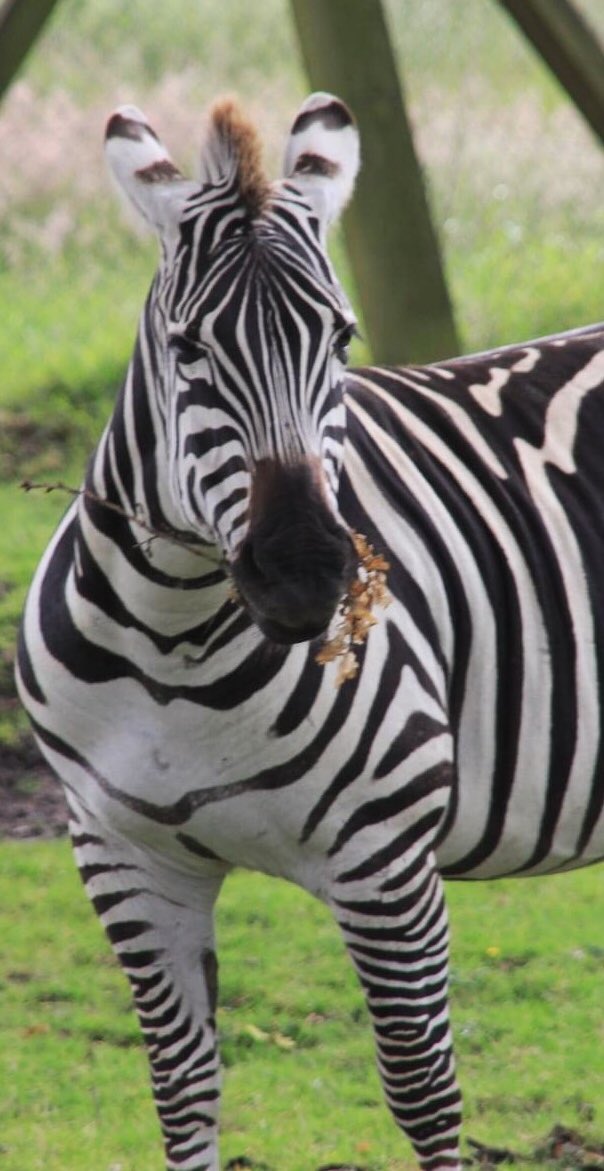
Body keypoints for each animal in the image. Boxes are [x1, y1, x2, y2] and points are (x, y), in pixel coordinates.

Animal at [16, 90, 604, 1171]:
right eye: (188, 349)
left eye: (340, 338)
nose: (304, 575)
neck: (170, 644)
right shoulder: (124, 857)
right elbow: (182, 1092)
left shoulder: (386, 862)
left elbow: (422, 1092)